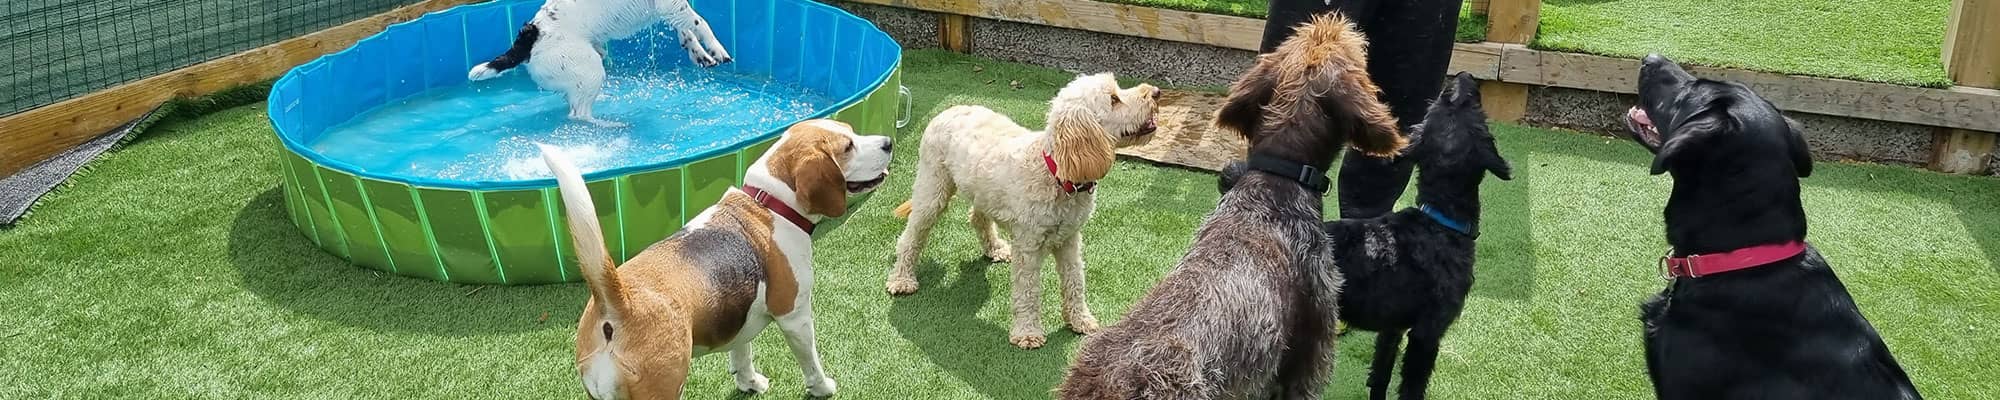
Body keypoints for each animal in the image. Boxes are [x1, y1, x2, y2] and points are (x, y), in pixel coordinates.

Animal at [468, 0, 736, 126]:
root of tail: (529, 38)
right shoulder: (671, 4)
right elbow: (701, 23)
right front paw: (718, 49)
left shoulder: (668, 9)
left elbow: (687, 32)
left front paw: (700, 54)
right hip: (590, 69)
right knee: (580, 115)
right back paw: (612, 124)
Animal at [888, 73, 1160, 348]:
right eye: (1113, 99)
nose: (1156, 92)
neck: (1056, 172)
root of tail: (948, 110)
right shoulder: (1028, 246)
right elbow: (1028, 291)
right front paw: (1027, 333)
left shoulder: (1070, 239)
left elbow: (1075, 281)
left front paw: (1080, 320)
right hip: (932, 191)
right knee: (910, 237)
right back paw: (902, 279)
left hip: (982, 191)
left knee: (977, 217)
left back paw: (995, 249)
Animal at [1216, 72, 1512, 400]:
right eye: (1474, 107)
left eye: (1444, 103)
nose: (1463, 76)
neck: (1438, 219)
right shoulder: (1427, 333)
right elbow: (1412, 387)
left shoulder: (1392, 328)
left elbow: (1380, 374)